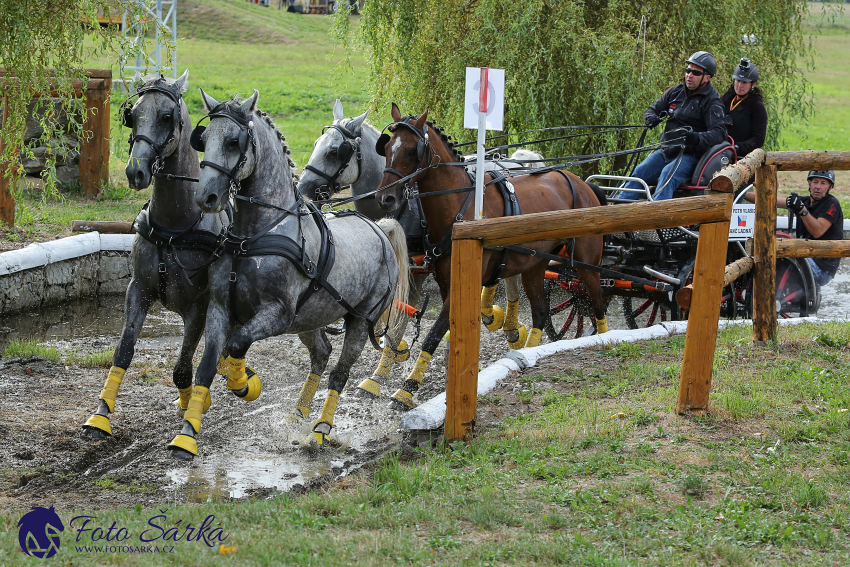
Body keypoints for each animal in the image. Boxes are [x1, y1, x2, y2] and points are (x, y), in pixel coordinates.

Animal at [166, 89, 410, 460]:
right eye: (203, 140)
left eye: (234, 142)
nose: (205, 197)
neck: (254, 237)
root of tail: (380, 229)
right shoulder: (220, 309)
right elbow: (207, 365)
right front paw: (187, 436)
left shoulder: (278, 315)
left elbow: (237, 344)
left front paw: (243, 384)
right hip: (309, 319)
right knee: (321, 353)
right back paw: (298, 413)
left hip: (357, 320)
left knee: (339, 374)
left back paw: (321, 430)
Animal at [374, 104, 608, 410]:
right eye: (388, 146)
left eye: (413, 151)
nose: (385, 198)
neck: (461, 207)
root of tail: (582, 184)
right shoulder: (446, 283)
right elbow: (450, 332)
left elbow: (433, 334)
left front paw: (408, 388)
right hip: (535, 265)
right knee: (540, 312)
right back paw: (526, 354)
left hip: (587, 265)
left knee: (598, 305)